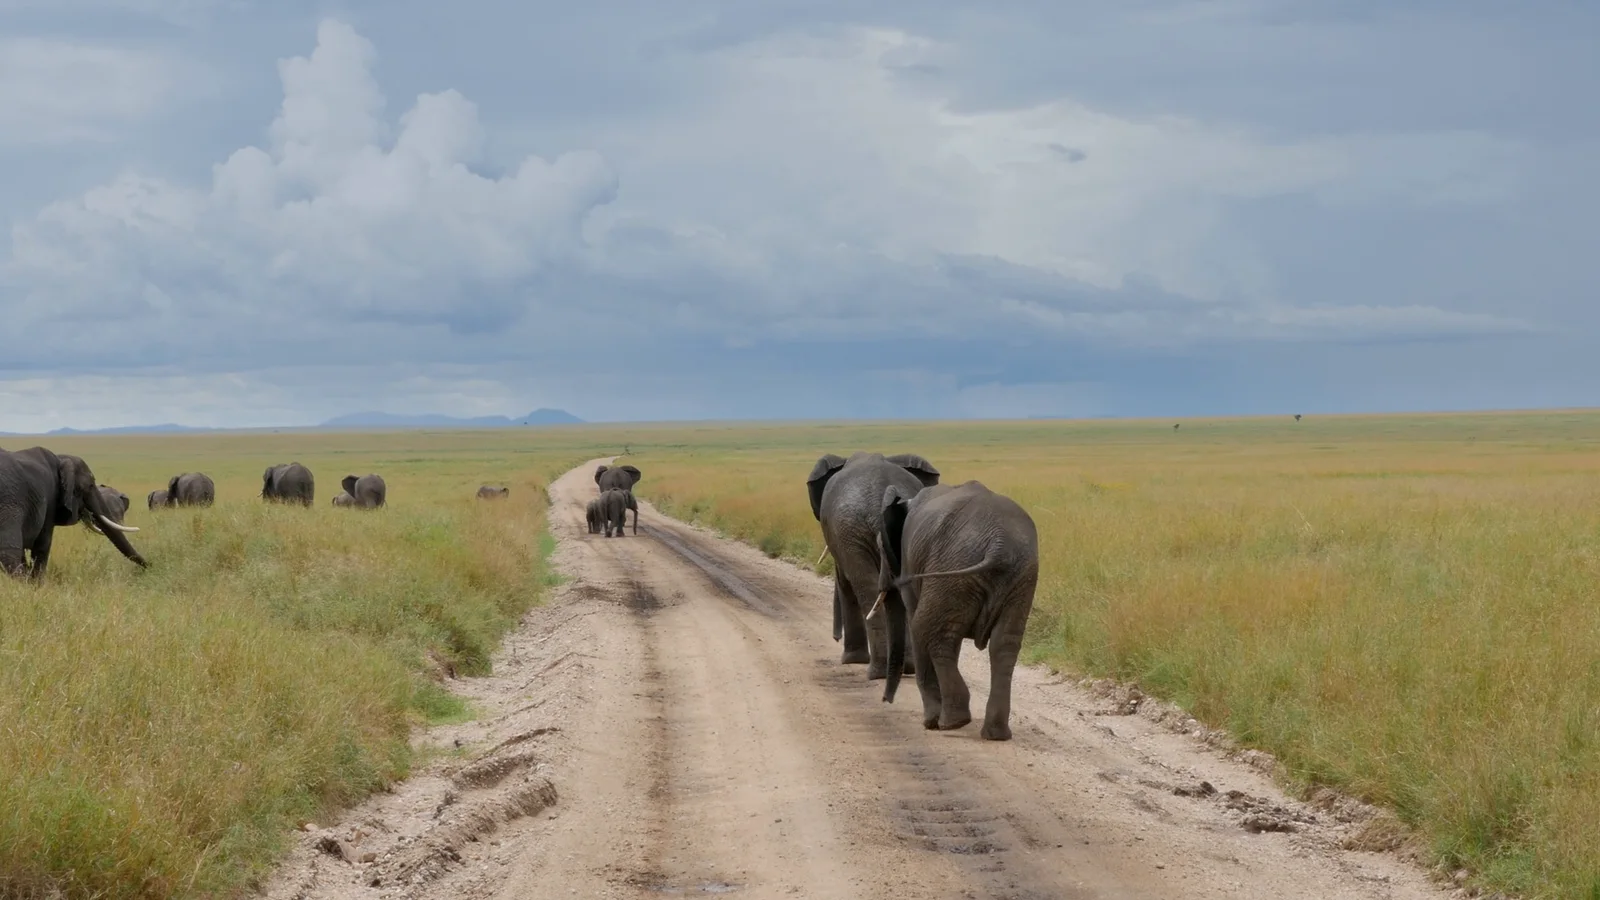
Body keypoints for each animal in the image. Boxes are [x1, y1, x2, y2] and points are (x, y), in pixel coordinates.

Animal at [0, 447, 147, 578]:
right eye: (90, 485)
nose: (148, 566)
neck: (60, 458)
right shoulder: (50, 499)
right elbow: (43, 545)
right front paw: (35, 585)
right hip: (10, 502)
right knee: (9, 552)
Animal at [806, 452, 940, 680]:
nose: (835, 638)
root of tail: (883, 496)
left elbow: (845, 583)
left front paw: (851, 661)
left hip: (851, 531)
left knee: (864, 590)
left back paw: (876, 672)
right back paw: (907, 669)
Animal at [875, 480, 1040, 741]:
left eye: (880, 546)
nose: (885, 700)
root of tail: (998, 544)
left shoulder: (911, 564)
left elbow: (915, 621)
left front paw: (930, 722)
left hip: (954, 567)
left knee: (927, 629)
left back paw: (952, 722)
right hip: (1020, 576)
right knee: (1004, 644)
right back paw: (995, 734)